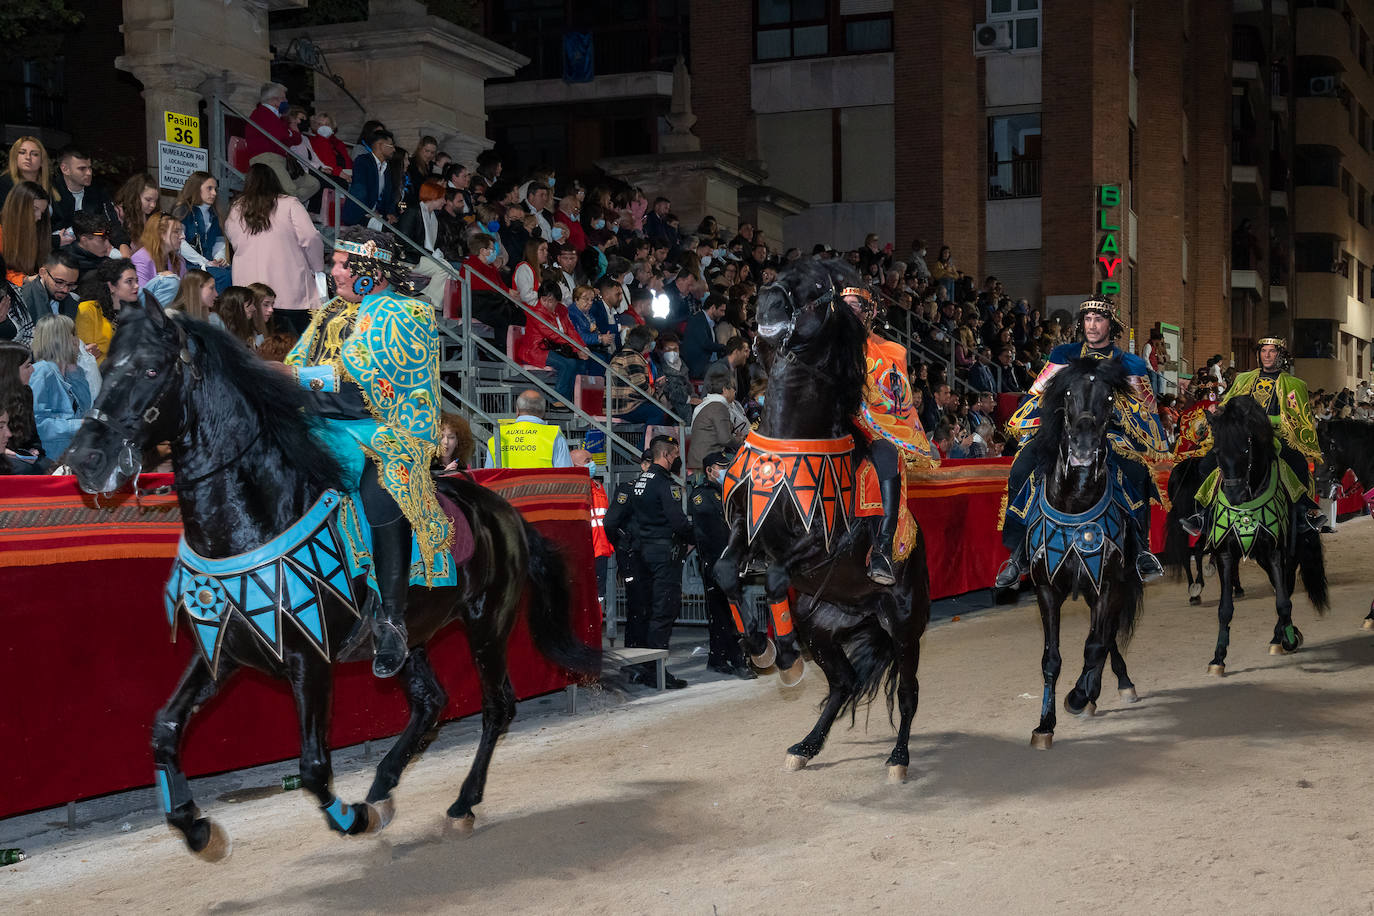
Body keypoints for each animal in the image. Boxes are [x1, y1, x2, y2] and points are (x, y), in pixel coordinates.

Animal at [63, 300, 596, 862]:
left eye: (149, 370)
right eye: (106, 366)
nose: (85, 459)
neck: (256, 517)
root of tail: (508, 515)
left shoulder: (309, 662)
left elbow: (314, 768)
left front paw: (353, 818)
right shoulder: (221, 653)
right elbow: (164, 729)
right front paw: (196, 828)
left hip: (487, 624)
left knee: (497, 707)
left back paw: (460, 805)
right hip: (411, 640)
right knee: (431, 702)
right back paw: (382, 787)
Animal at [708, 256, 934, 780]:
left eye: (817, 289)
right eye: (777, 275)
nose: (767, 302)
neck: (793, 435)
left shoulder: (822, 543)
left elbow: (773, 578)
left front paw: (784, 656)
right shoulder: (746, 527)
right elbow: (726, 571)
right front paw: (760, 647)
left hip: (903, 626)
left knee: (907, 693)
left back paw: (898, 758)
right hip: (822, 626)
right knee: (844, 682)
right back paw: (805, 747)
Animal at [1016, 354, 1143, 747]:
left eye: (1109, 398)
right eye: (1068, 393)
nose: (1084, 446)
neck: (1074, 506)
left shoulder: (1108, 585)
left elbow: (1094, 645)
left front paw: (1078, 695)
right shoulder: (1046, 590)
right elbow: (1051, 659)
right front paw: (1045, 725)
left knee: (1105, 636)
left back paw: (1111, 686)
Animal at [1165, 398, 1324, 672]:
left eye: (1246, 449)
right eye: (1217, 452)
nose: (1234, 496)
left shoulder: (1275, 551)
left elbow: (1283, 601)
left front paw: (1289, 639)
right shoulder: (1225, 552)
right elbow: (1225, 609)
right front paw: (1218, 657)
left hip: (1287, 553)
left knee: (1286, 587)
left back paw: (1281, 636)